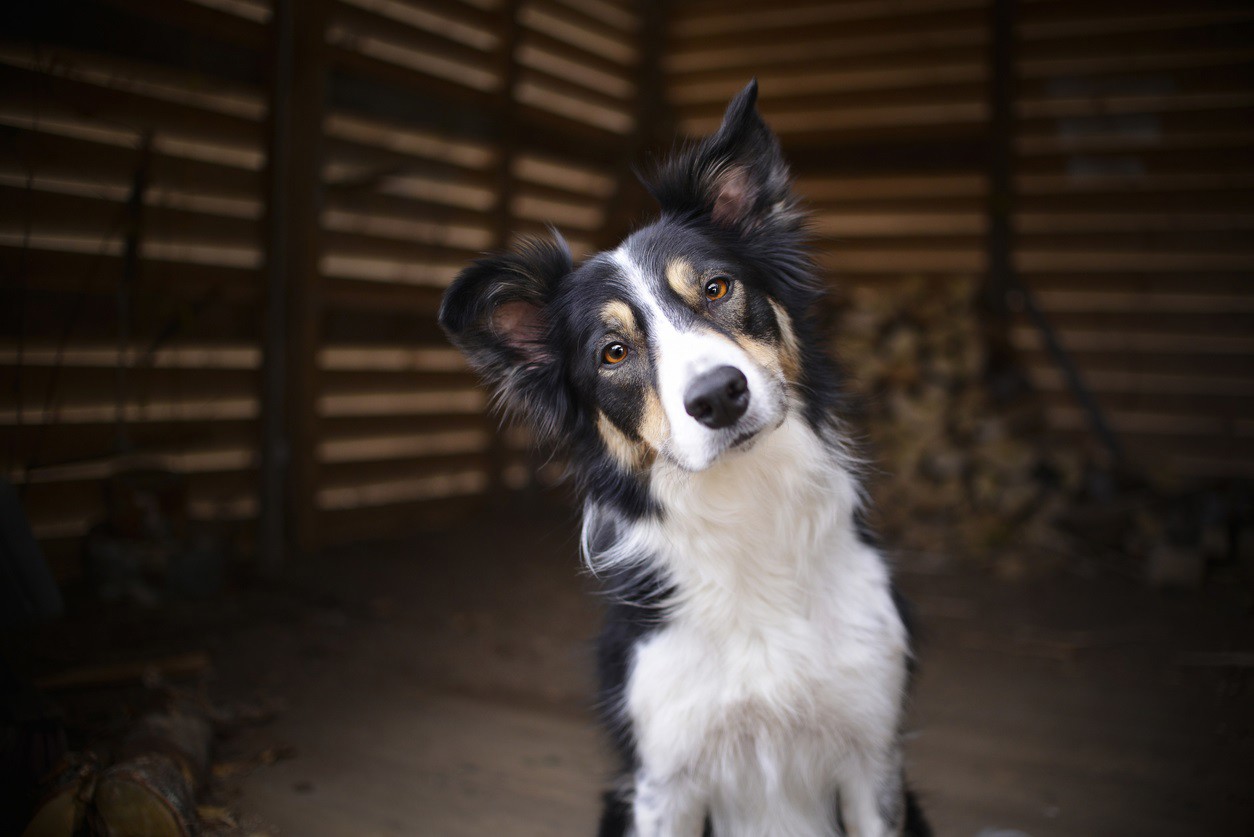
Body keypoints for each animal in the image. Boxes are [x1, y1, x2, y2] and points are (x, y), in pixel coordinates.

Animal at [436, 80, 927, 837]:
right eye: (613, 352)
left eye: (718, 288)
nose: (719, 396)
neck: (748, 515)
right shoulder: (664, 779)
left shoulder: (872, 758)